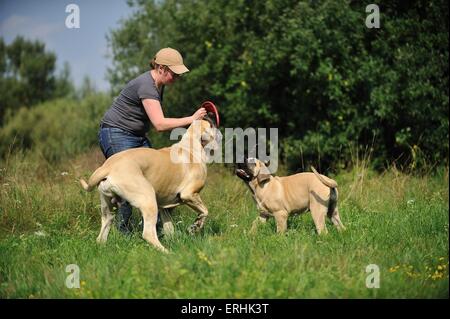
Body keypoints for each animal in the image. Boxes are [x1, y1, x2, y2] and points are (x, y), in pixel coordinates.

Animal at [81, 119, 222, 254]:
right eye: (210, 124)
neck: (190, 146)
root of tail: (107, 167)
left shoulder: (165, 208)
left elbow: (169, 228)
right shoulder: (189, 194)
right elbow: (205, 211)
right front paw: (195, 227)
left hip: (108, 208)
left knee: (102, 233)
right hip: (148, 200)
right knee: (148, 234)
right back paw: (167, 252)